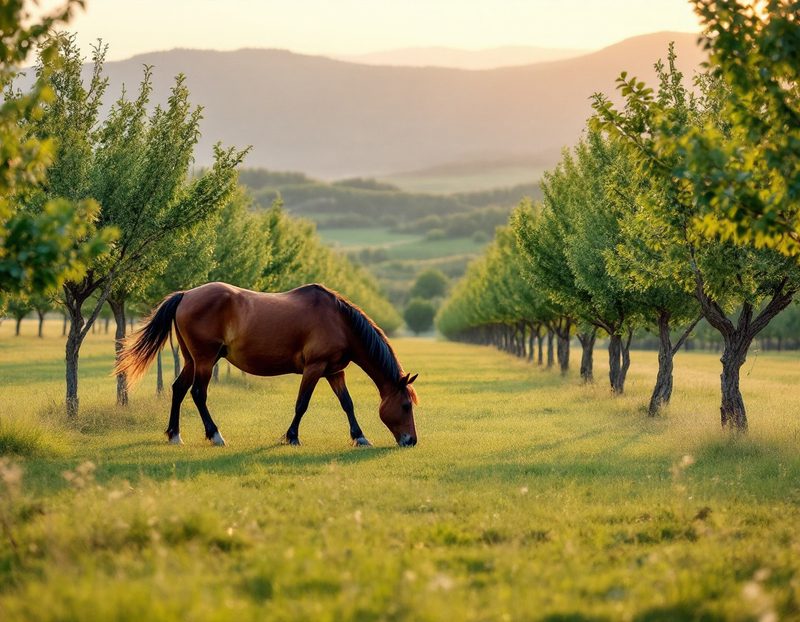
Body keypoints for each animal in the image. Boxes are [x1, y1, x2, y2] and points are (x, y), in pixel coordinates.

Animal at [115, 282, 418, 447]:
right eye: (406, 406)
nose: (411, 441)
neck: (340, 322)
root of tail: (186, 294)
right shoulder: (314, 368)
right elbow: (302, 404)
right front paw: (292, 437)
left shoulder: (334, 371)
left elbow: (347, 404)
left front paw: (360, 437)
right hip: (205, 360)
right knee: (198, 393)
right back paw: (215, 435)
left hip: (191, 359)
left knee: (178, 389)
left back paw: (174, 434)